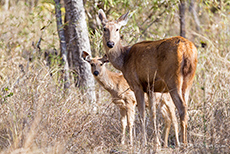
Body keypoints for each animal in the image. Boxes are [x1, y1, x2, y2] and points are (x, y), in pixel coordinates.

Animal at [99, 9, 198, 148]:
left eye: (117, 29)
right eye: (104, 28)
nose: (110, 43)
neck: (123, 60)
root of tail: (187, 50)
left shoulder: (137, 84)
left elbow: (142, 114)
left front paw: (143, 142)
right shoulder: (151, 87)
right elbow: (153, 114)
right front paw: (156, 143)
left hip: (173, 79)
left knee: (182, 107)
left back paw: (183, 144)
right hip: (188, 80)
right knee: (186, 107)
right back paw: (185, 143)